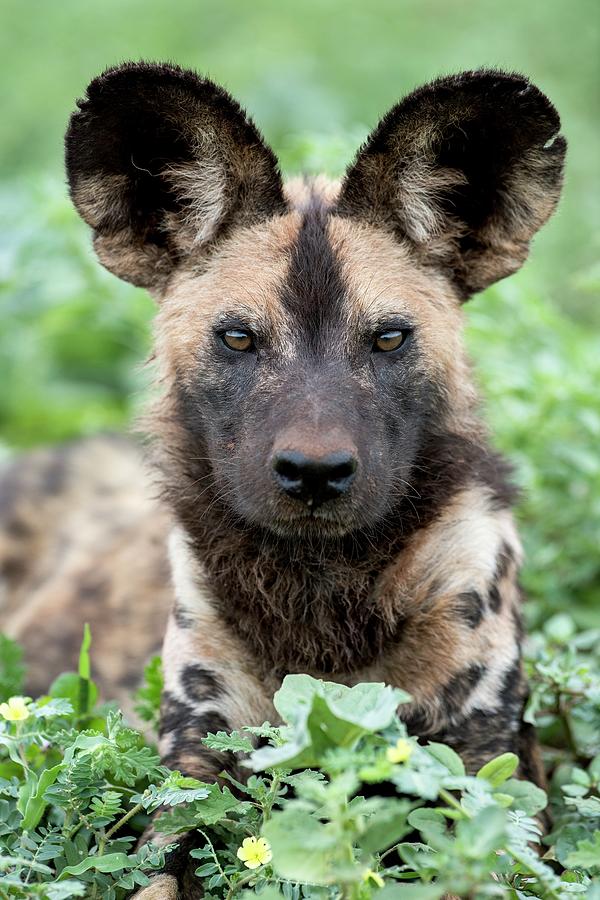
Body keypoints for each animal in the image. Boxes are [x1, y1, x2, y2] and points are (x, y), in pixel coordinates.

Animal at [3, 61, 564, 892]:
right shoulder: (195, 773)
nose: (315, 472)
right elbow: (158, 874)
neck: (322, 597)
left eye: (389, 338)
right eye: (238, 338)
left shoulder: (486, 786)